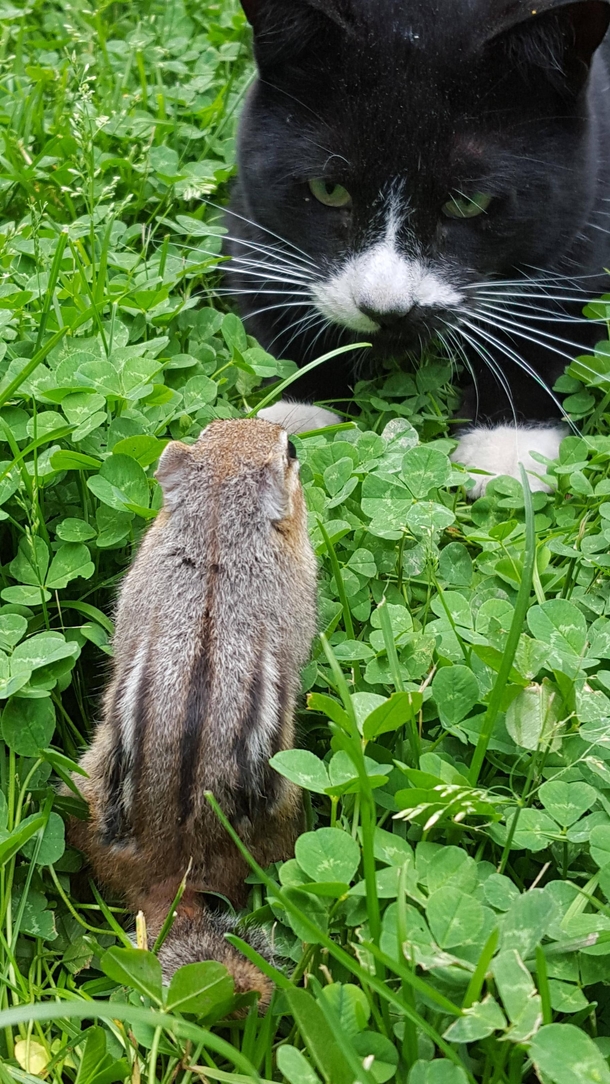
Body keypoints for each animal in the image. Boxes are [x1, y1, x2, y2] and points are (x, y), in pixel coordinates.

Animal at [226, 0, 610, 492]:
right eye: (328, 189)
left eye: (468, 201)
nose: (385, 309)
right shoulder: (251, 223)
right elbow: (274, 300)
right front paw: (296, 415)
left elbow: (556, 317)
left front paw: (507, 445)